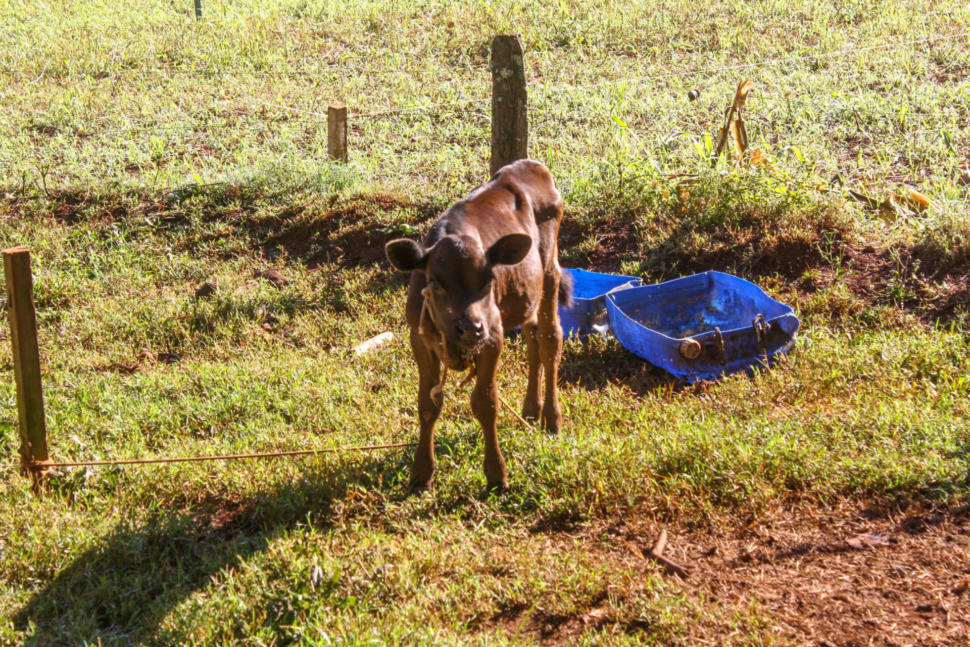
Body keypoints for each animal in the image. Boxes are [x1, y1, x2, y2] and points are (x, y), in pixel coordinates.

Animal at [384, 159, 571, 493]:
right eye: (436, 282)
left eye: (488, 281)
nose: (471, 328)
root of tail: (531, 165)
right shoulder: (418, 338)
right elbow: (427, 402)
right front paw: (421, 473)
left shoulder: (493, 336)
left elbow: (485, 402)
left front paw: (496, 475)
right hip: (527, 294)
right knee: (533, 339)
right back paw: (531, 410)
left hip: (550, 271)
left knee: (550, 339)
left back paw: (551, 419)